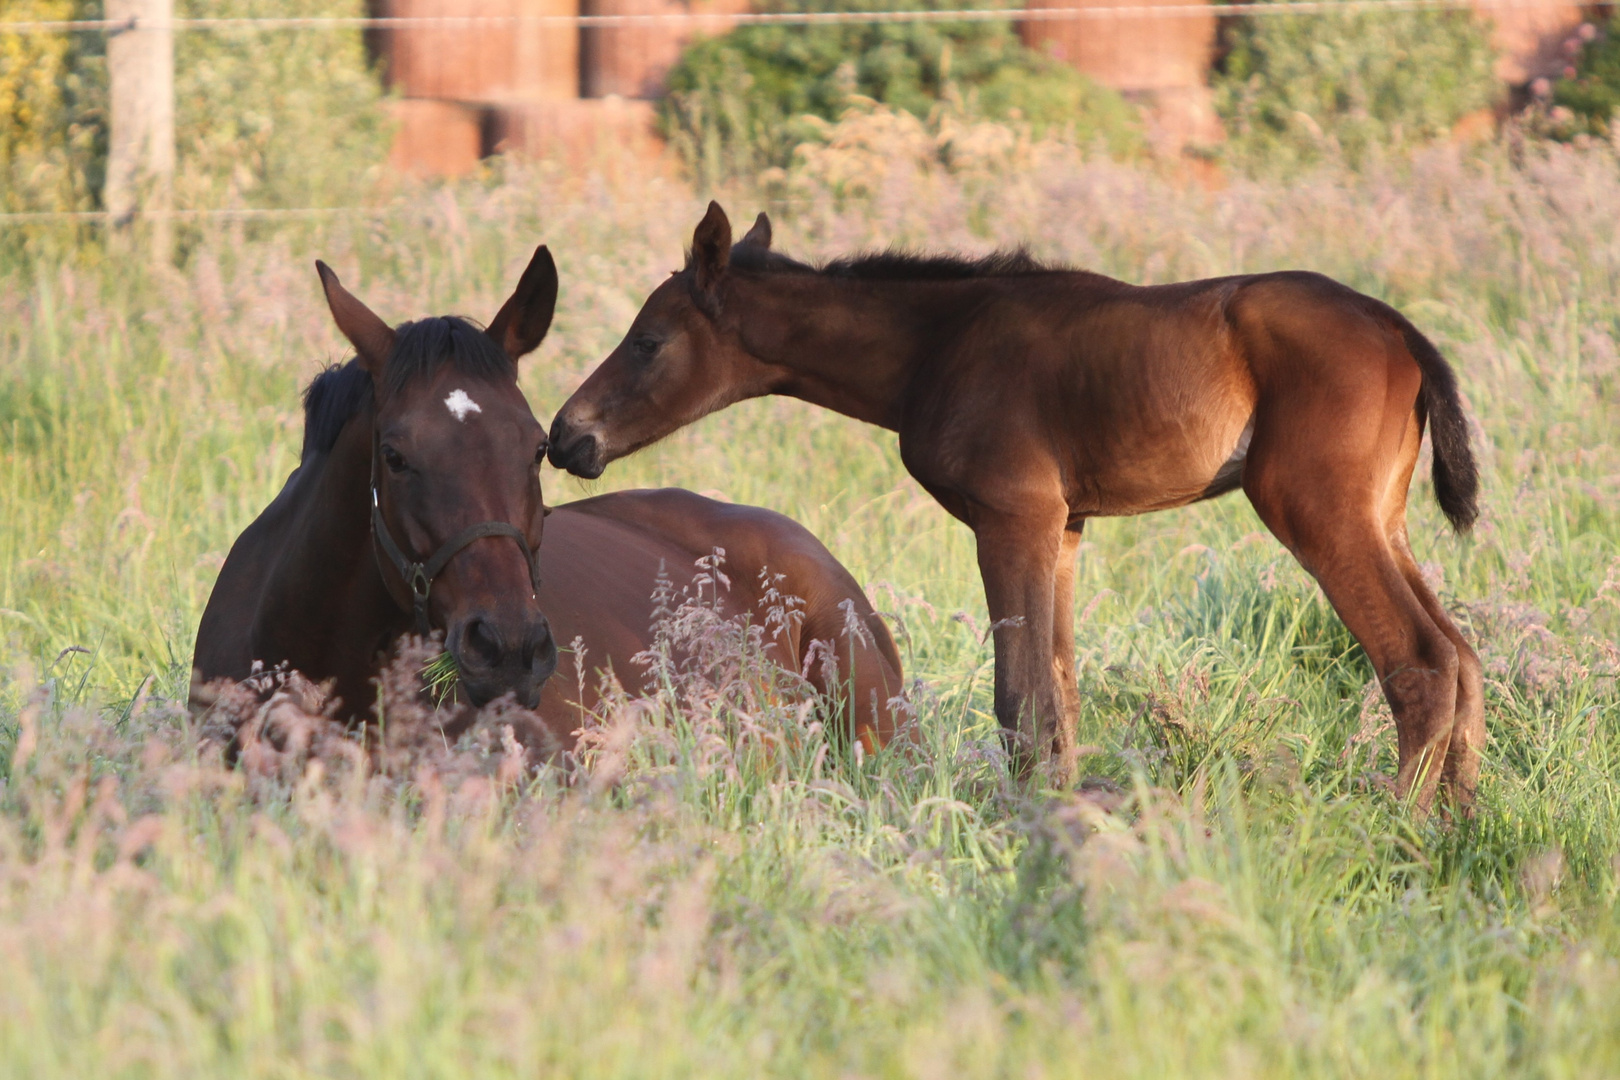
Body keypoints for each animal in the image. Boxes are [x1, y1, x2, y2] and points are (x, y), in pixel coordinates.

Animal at [550, 202, 1483, 809]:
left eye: (648, 341)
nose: (567, 437)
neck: (936, 347)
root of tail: (1398, 328)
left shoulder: (1011, 517)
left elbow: (1020, 698)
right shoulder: (1063, 527)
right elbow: (1058, 693)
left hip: (1316, 511)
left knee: (1419, 662)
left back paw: (1394, 830)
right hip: (1382, 519)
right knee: (1464, 656)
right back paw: (1460, 829)